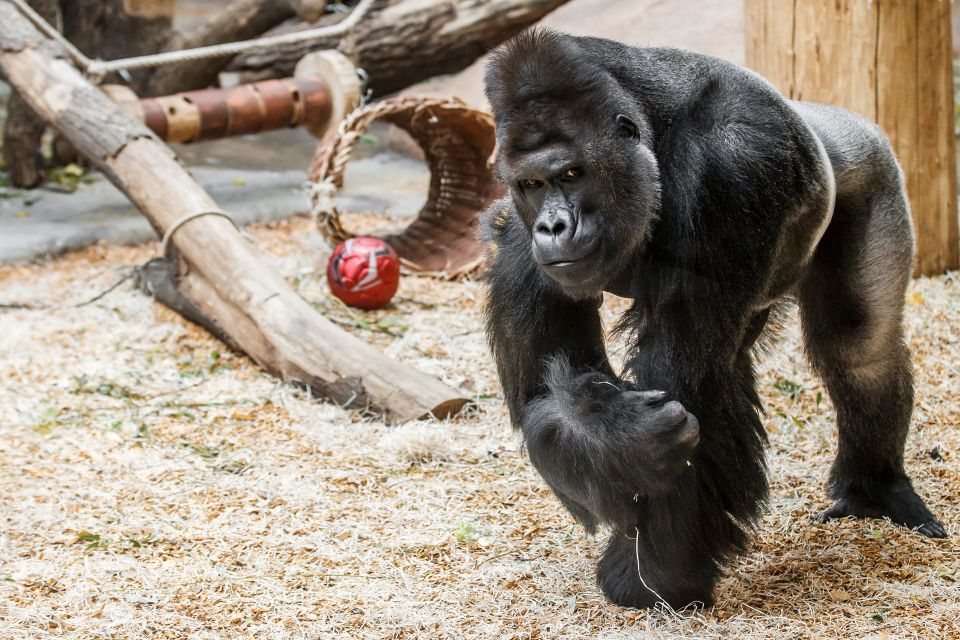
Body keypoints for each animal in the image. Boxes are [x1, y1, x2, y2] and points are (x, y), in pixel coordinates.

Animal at [480, 30, 944, 608]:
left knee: (861, 344)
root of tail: (831, 114)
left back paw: (878, 489)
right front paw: (614, 435)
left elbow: (690, 392)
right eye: (532, 185)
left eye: (571, 174)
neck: (652, 126)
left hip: (872, 162)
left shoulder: (730, 167)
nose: (553, 226)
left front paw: (653, 576)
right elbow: (547, 394)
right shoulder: (516, 232)